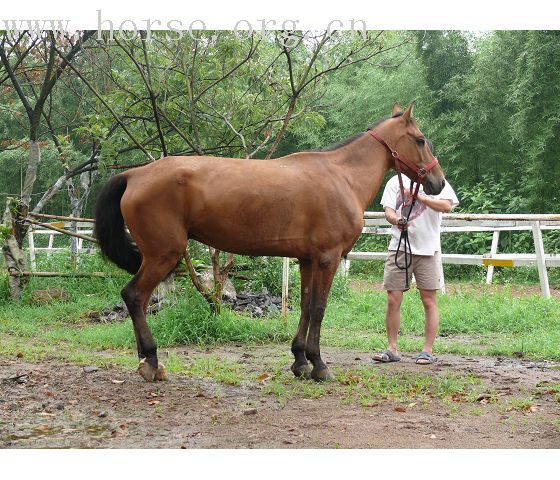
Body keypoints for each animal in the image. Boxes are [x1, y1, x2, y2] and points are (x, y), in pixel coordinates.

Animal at [95, 103, 446, 380]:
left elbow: (304, 306)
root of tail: (134, 175)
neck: (341, 176)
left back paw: (145, 360)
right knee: (134, 296)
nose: (438, 182)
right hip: (162, 255)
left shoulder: (307, 260)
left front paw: (300, 361)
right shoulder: (328, 259)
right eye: (420, 140)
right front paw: (318, 364)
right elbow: (319, 307)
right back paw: (152, 361)